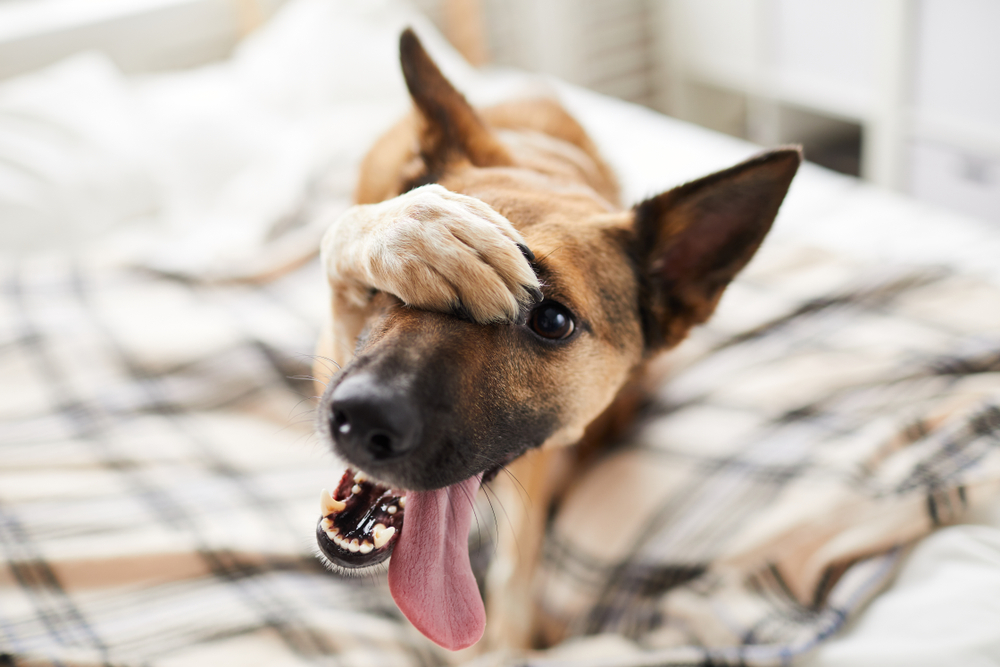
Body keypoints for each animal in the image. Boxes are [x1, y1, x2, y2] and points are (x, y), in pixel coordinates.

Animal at [310, 30, 796, 652]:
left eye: (553, 321)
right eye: (396, 286)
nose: (364, 417)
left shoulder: (538, 468)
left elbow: (518, 566)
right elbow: (351, 234)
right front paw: (418, 229)